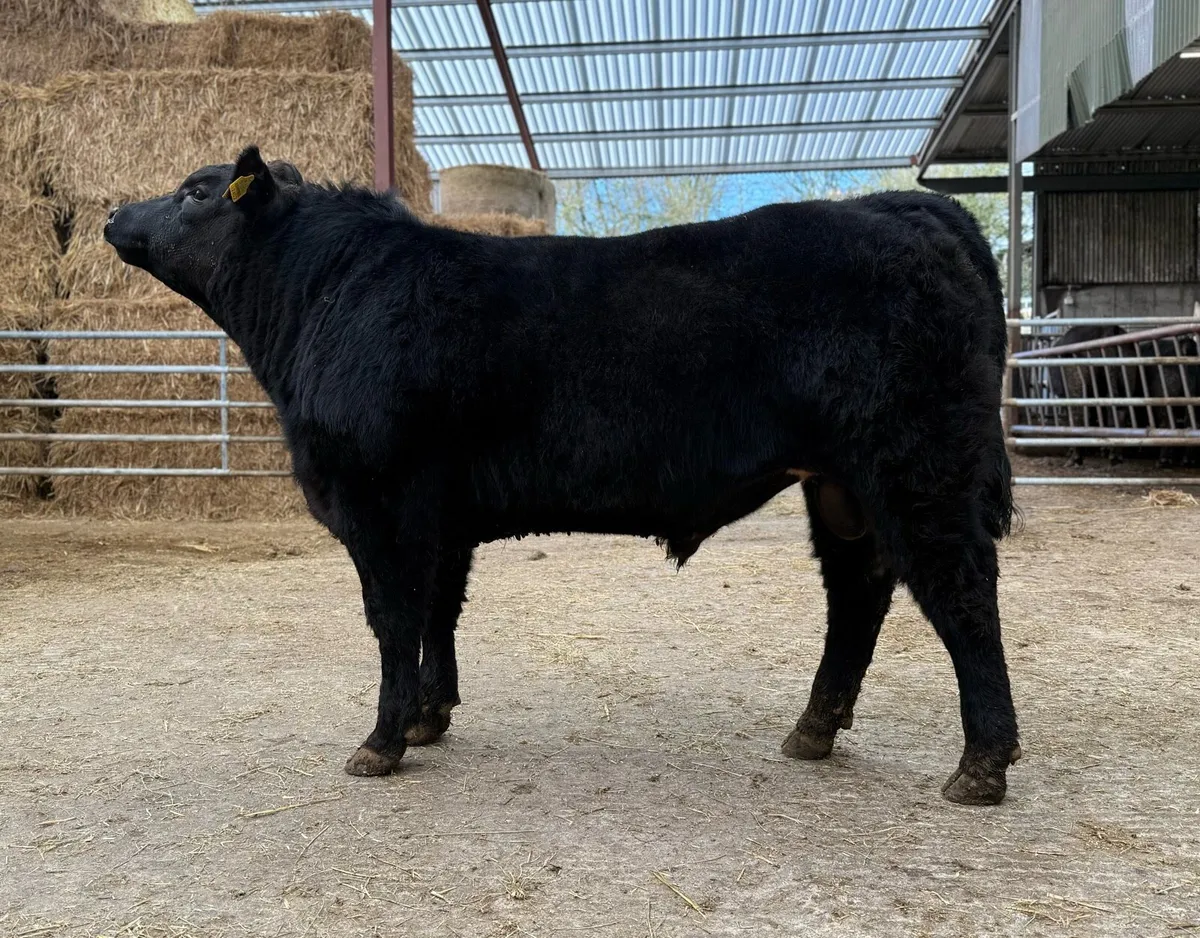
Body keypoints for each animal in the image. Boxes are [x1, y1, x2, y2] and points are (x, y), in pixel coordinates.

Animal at [104, 146, 1022, 805]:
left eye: (195, 191)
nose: (113, 212)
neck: (325, 297)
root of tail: (903, 204)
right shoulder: (442, 514)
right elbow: (439, 613)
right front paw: (431, 717)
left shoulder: (382, 502)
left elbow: (394, 620)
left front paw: (381, 741)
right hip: (840, 487)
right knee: (858, 594)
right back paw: (814, 730)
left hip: (916, 466)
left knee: (960, 593)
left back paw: (982, 764)